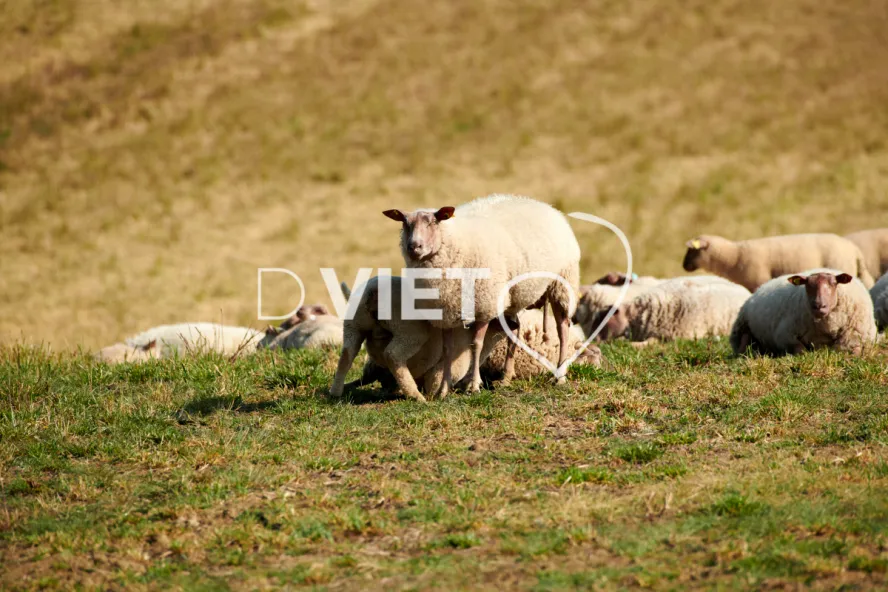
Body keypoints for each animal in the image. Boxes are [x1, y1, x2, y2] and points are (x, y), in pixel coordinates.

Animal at [329, 277, 507, 402]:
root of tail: (374, 289)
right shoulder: (449, 366)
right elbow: (435, 383)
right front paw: (438, 395)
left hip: (354, 326)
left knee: (347, 354)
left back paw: (336, 391)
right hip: (410, 330)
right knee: (392, 355)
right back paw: (415, 395)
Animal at [383, 194, 581, 395]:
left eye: (433, 222)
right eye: (405, 223)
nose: (414, 247)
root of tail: (548, 207)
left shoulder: (485, 305)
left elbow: (476, 345)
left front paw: (473, 385)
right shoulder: (445, 313)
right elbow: (447, 350)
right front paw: (444, 389)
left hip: (562, 283)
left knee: (562, 329)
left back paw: (560, 376)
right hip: (512, 298)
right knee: (515, 330)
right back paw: (506, 378)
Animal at [730, 269, 878, 356]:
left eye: (834, 283)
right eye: (807, 285)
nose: (819, 306)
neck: (826, 327)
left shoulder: (855, 336)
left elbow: (845, 350)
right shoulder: (785, 335)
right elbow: (801, 350)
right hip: (743, 327)